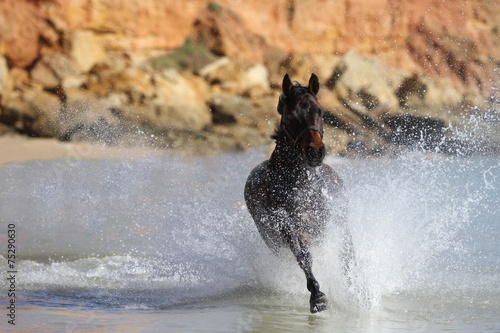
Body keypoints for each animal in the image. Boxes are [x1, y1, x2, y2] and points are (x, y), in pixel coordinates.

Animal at [243, 72, 354, 312]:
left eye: (319, 111)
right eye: (292, 114)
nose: (315, 152)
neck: (301, 186)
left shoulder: (334, 223)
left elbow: (346, 255)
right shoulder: (289, 228)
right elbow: (304, 257)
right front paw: (317, 296)